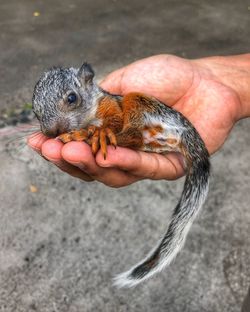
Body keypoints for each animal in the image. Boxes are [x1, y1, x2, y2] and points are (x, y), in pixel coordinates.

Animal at [32, 62, 210, 288]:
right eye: (35, 110)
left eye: (72, 98)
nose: (51, 132)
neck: (91, 113)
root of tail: (185, 130)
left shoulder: (111, 106)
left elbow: (114, 121)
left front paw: (97, 132)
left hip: (140, 102)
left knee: (133, 133)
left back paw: (90, 135)